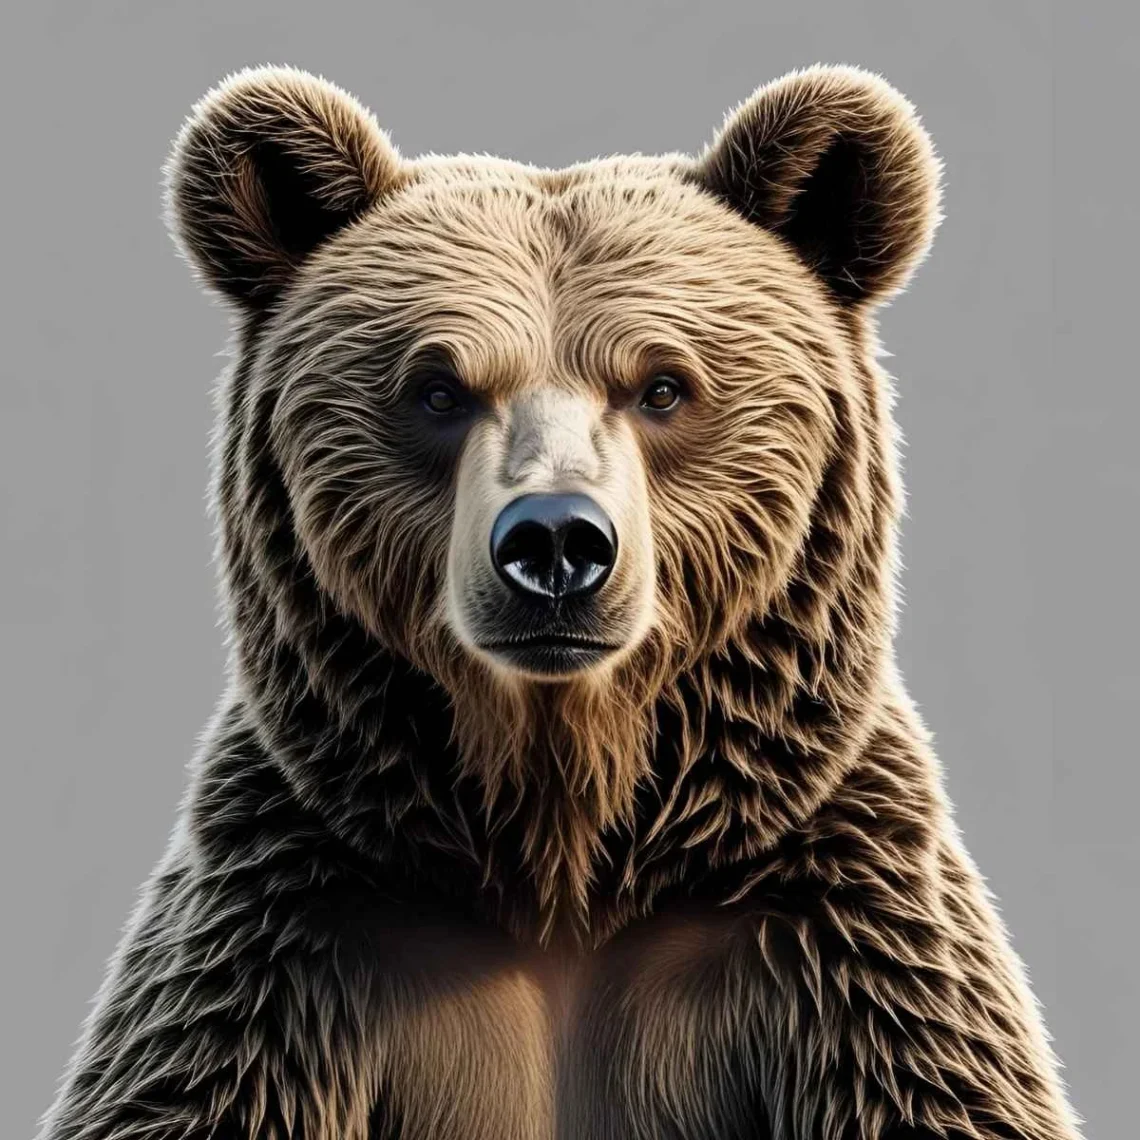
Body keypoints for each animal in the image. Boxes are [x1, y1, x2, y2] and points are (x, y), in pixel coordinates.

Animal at [38, 62, 1082, 1140]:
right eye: (437, 389)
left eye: (663, 386)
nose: (553, 543)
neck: (563, 854)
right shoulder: (287, 942)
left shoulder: (844, 942)